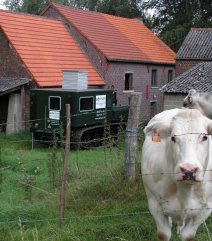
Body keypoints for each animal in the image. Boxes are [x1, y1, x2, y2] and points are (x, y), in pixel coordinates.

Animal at [142, 109, 212, 241]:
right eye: (173, 138)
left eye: (205, 137)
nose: (189, 170)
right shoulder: (155, 204)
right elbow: (164, 234)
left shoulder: (205, 208)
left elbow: (188, 235)